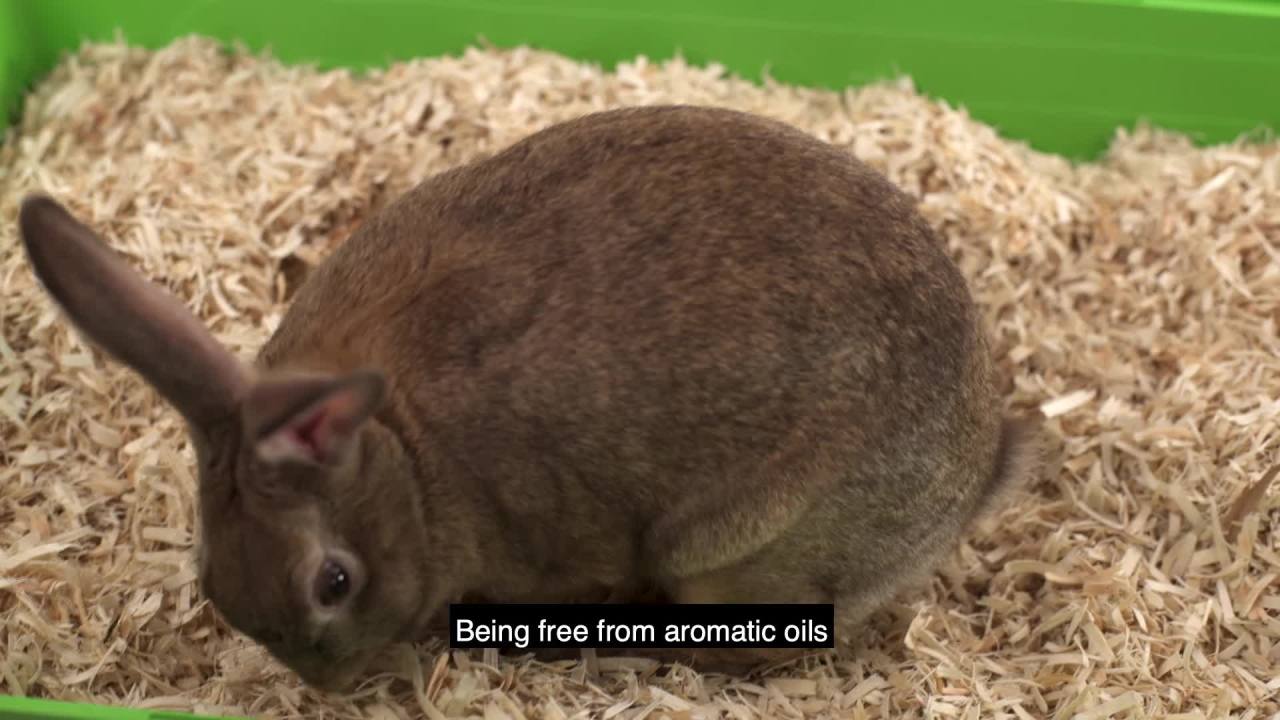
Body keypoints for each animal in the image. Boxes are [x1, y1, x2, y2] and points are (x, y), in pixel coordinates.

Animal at [18, 104, 1041, 690]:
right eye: (211, 581)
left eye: (334, 583)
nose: (330, 689)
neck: (403, 453)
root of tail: (976, 474)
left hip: (732, 561)